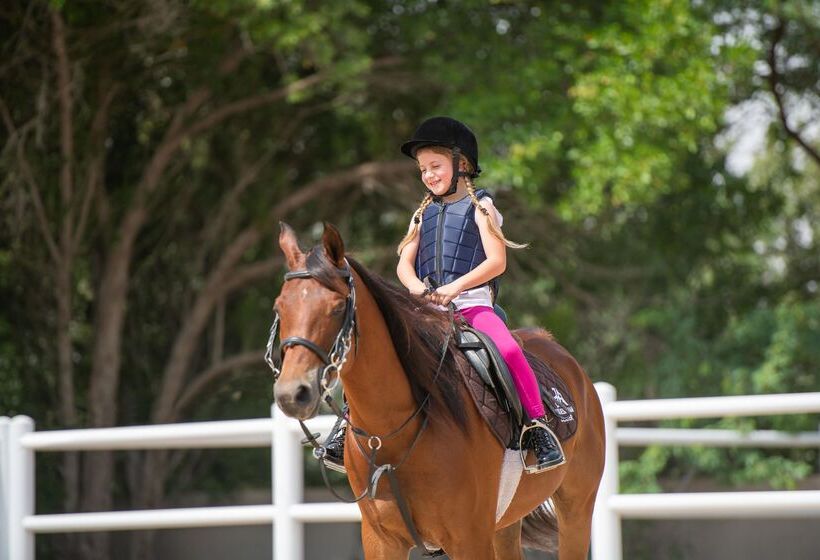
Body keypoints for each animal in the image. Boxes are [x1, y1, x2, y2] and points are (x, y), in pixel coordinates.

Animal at [272, 221, 604, 556]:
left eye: (338, 307)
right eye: (280, 307)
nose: (292, 393)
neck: (393, 435)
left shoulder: (469, 539)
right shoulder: (382, 542)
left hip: (577, 509)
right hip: (505, 526)